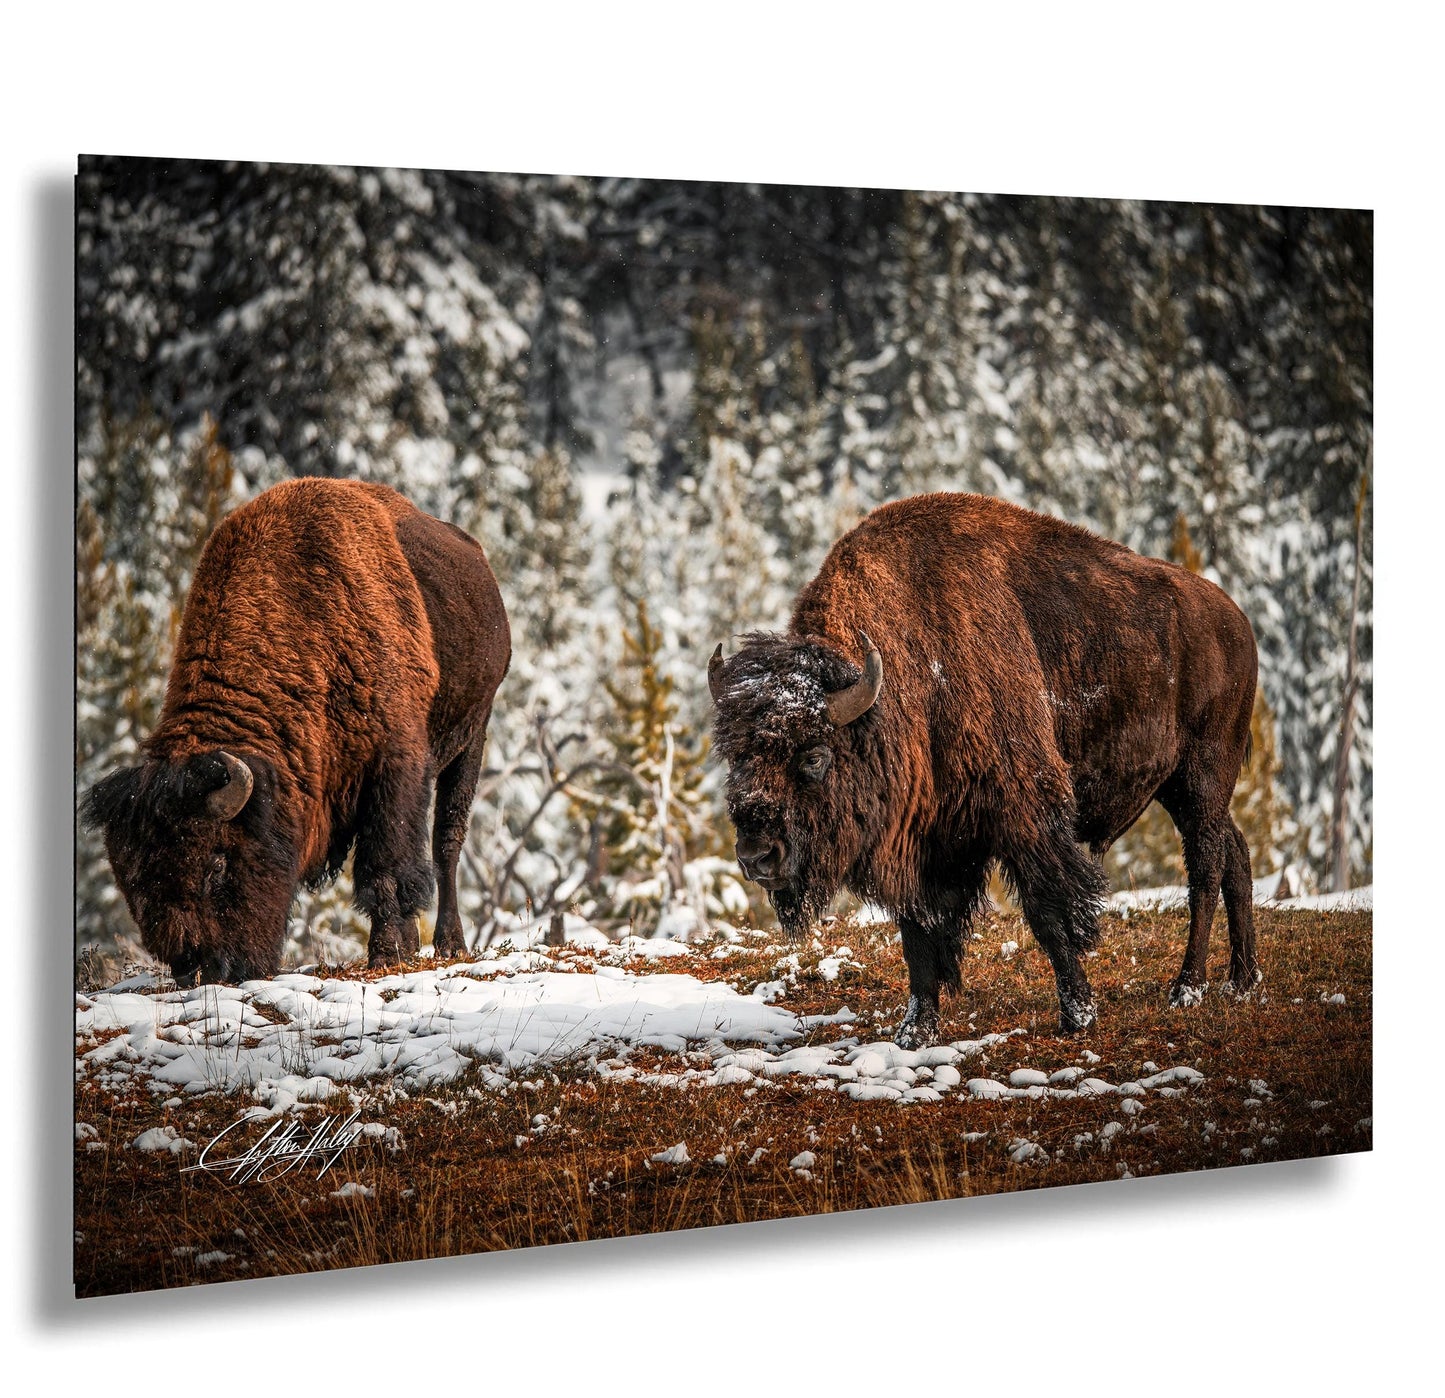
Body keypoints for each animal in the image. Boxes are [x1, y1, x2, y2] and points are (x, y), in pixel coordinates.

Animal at [84, 478, 510, 984]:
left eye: (217, 865)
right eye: (132, 883)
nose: (203, 969)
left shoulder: (395, 763)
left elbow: (387, 864)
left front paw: (387, 955)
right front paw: (398, 948)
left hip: (472, 736)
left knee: (447, 841)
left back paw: (450, 943)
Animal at [708, 492, 1258, 1046]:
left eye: (814, 756)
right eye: (735, 755)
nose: (757, 855)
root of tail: (1237, 621)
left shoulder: (1023, 814)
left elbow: (1047, 910)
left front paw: (1078, 1015)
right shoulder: (923, 841)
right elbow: (917, 935)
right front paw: (915, 1031)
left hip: (1202, 777)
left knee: (1206, 866)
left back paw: (1187, 988)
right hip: (1181, 788)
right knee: (1235, 850)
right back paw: (1242, 979)